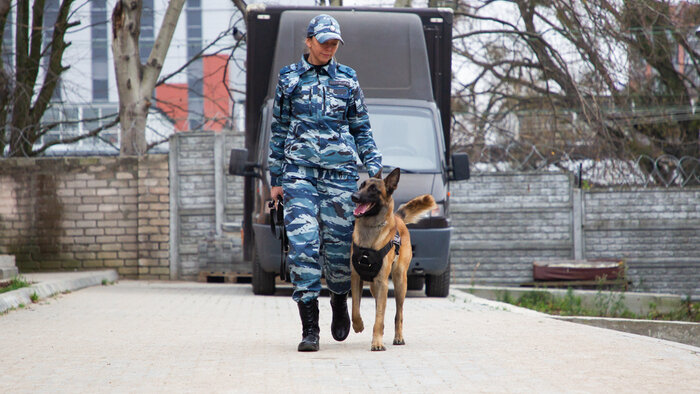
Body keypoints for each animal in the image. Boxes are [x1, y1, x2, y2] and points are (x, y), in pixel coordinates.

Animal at [348, 167, 432, 350]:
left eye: (374, 190)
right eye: (362, 185)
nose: (354, 196)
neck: (370, 229)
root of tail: (397, 218)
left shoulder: (382, 282)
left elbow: (380, 316)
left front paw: (377, 342)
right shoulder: (357, 278)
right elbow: (355, 309)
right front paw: (359, 325)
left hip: (400, 282)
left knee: (398, 314)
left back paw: (398, 337)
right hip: (375, 286)